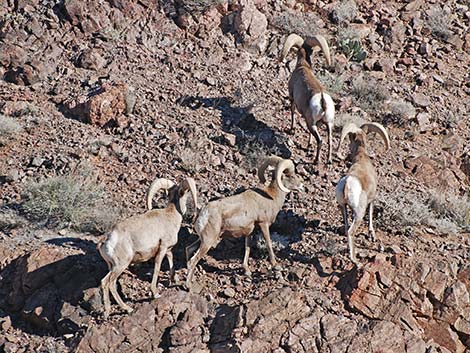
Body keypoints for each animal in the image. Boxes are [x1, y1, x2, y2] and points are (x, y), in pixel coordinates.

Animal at [97, 176, 196, 316]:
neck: (171, 215)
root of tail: (106, 240)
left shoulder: (168, 250)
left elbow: (171, 261)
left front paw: (174, 280)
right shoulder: (162, 249)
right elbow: (157, 268)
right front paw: (155, 294)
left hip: (111, 266)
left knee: (104, 283)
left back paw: (107, 312)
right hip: (120, 265)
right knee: (110, 284)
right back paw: (128, 309)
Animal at [185, 155, 302, 288]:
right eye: (291, 176)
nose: (302, 186)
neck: (270, 197)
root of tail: (203, 212)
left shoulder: (249, 231)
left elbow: (247, 248)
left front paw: (247, 271)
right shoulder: (263, 224)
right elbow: (268, 244)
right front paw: (276, 266)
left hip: (203, 240)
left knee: (188, 249)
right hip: (208, 241)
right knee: (193, 260)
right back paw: (188, 285)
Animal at [280, 33, 334, 164]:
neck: (303, 66)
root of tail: (322, 100)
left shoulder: (292, 98)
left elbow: (292, 112)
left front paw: (292, 129)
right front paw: (309, 144)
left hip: (313, 124)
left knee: (320, 141)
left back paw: (316, 160)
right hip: (328, 124)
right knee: (329, 141)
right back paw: (329, 160)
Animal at [336, 122, 392, 262]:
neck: (361, 158)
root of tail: (347, 183)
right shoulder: (372, 199)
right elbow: (371, 214)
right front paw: (372, 235)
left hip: (343, 207)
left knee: (346, 227)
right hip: (359, 213)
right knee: (351, 231)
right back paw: (354, 259)